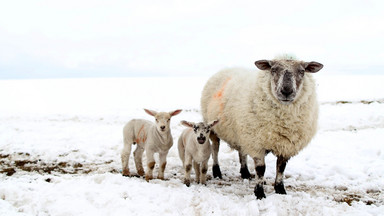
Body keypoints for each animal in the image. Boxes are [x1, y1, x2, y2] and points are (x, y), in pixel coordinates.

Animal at [201, 56, 324, 199]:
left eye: (302, 71)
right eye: (273, 70)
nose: (286, 91)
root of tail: (227, 68)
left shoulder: (285, 146)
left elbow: (281, 168)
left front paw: (280, 189)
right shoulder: (256, 144)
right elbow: (261, 169)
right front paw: (259, 193)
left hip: (241, 132)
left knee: (242, 152)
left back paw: (245, 173)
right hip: (213, 128)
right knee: (215, 149)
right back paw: (217, 171)